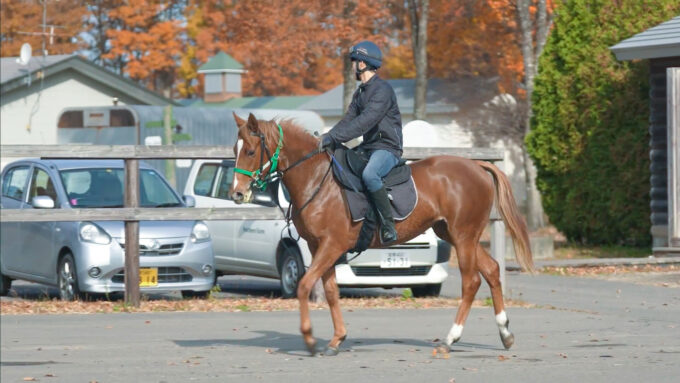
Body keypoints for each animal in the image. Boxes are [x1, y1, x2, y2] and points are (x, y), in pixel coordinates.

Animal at [231, 113, 532, 356]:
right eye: (236, 149)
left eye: (250, 151)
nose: (236, 193)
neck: (316, 178)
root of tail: (478, 166)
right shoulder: (318, 247)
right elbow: (330, 291)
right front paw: (336, 339)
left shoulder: (331, 245)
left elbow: (305, 286)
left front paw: (309, 339)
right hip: (457, 234)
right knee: (491, 271)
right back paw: (505, 333)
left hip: (464, 236)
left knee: (471, 282)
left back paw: (451, 338)